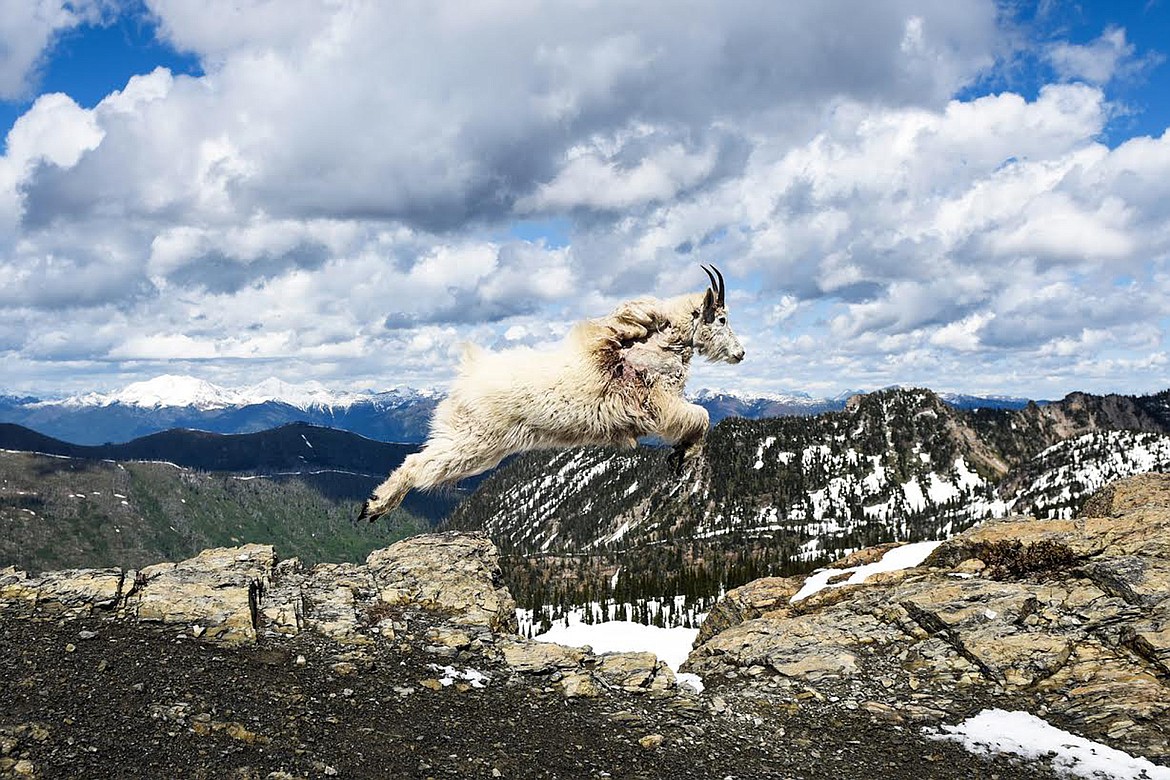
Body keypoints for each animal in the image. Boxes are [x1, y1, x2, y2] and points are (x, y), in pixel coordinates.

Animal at [355, 266, 744, 523]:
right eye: (721, 319)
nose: (740, 354)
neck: (653, 347)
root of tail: (469, 374)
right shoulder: (657, 405)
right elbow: (700, 417)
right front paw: (683, 456)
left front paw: (681, 456)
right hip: (475, 440)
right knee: (418, 463)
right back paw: (375, 505)